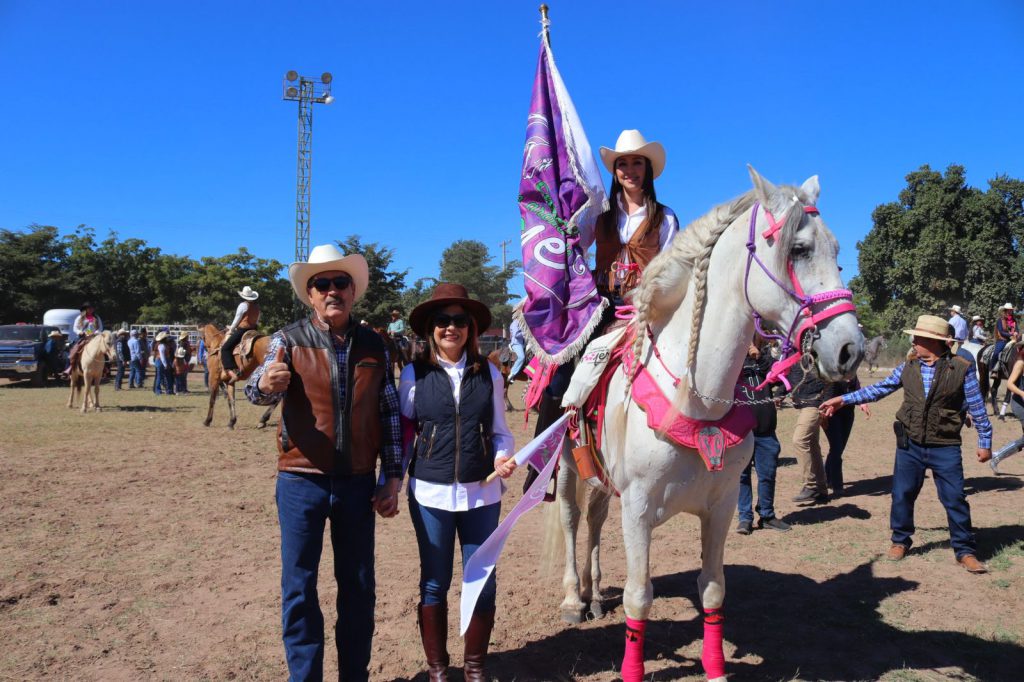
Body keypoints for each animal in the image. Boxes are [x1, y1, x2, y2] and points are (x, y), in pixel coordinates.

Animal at [552, 165, 864, 679]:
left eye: (838, 253)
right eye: (798, 249)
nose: (849, 349)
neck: (694, 403)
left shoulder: (718, 507)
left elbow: (714, 589)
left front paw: (715, 668)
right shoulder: (637, 509)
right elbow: (639, 597)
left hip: (598, 476)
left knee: (594, 521)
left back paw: (595, 597)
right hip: (563, 469)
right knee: (573, 520)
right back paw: (574, 600)